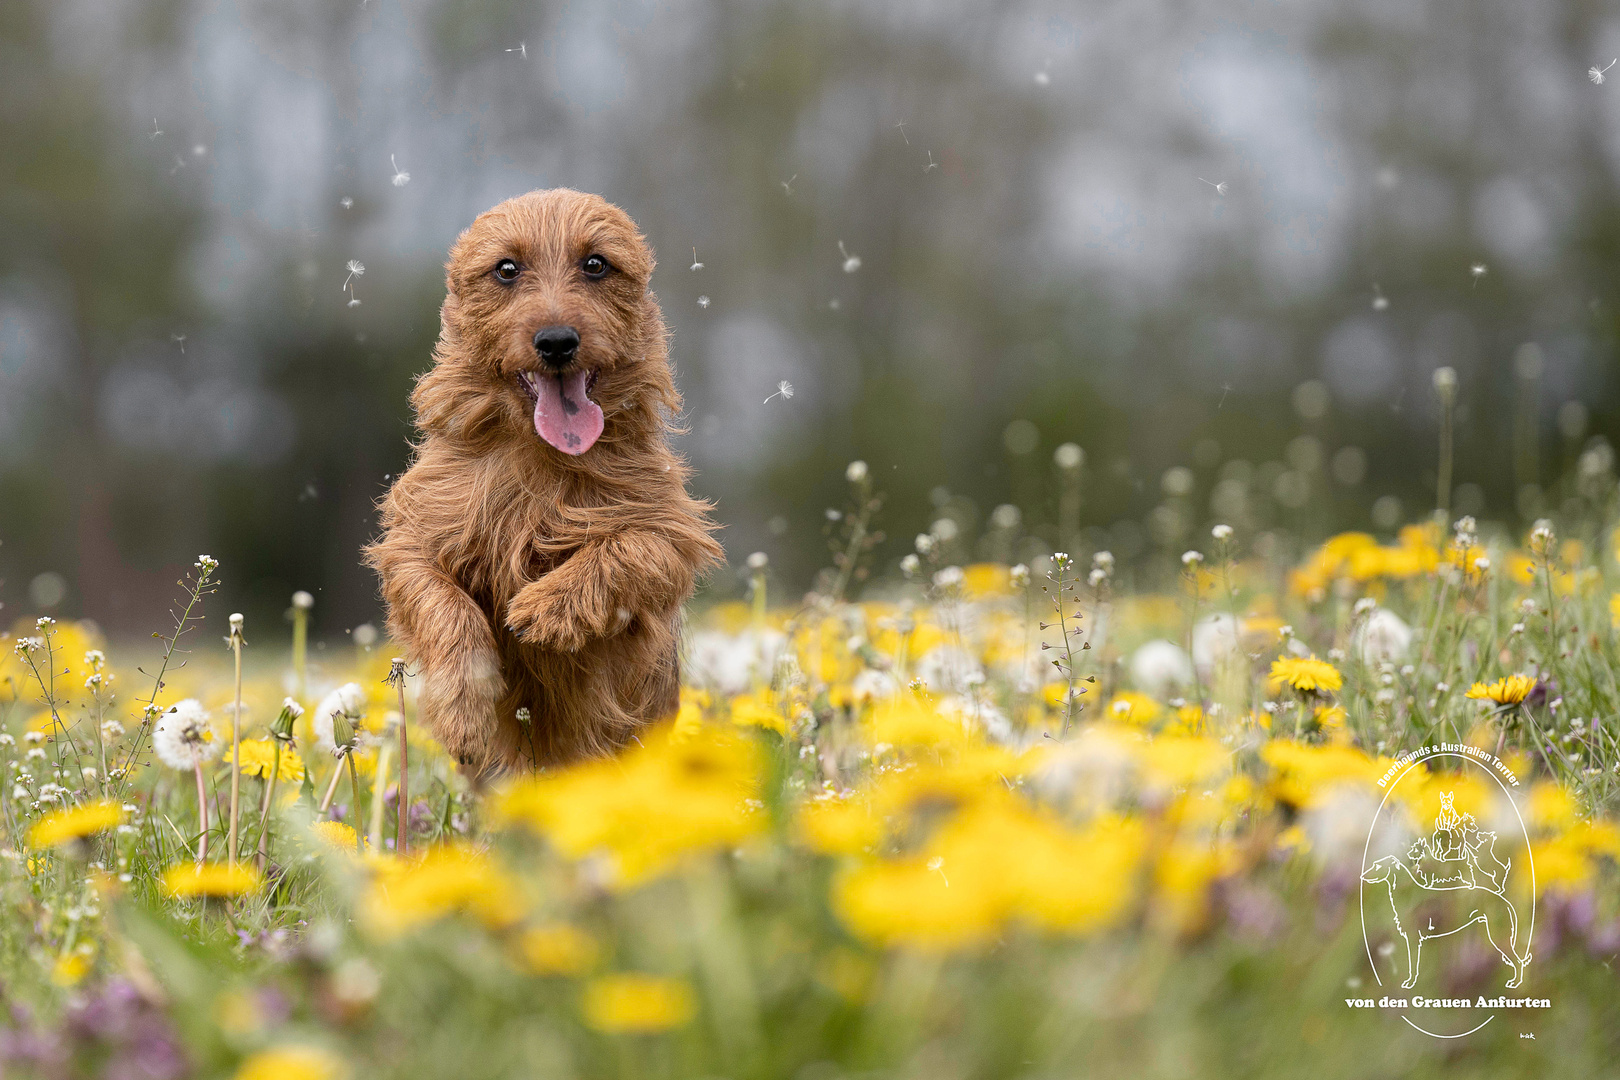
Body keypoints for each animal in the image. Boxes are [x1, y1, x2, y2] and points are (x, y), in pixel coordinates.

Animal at [370, 190, 725, 773]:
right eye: (506, 269)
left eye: (596, 264)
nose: (557, 342)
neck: (543, 457)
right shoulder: (413, 538)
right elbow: (444, 603)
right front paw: (464, 712)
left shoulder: (672, 530)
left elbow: (627, 547)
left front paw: (544, 606)